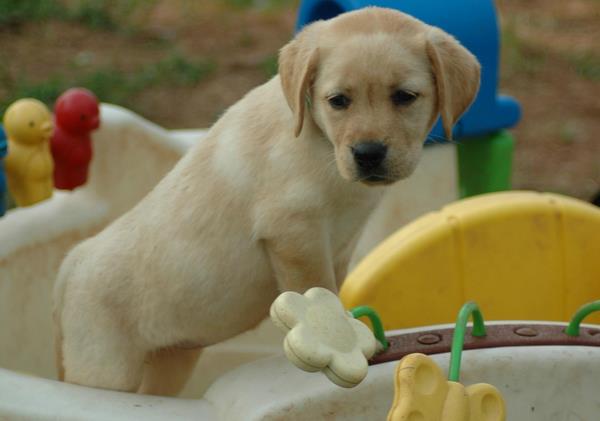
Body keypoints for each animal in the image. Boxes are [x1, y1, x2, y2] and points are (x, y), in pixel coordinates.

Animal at [54, 5, 480, 394]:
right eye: (338, 100)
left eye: (405, 97)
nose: (368, 153)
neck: (321, 140)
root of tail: (70, 266)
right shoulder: (294, 233)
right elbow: (319, 292)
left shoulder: (340, 246)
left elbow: (336, 289)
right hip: (106, 367)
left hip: (172, 360)